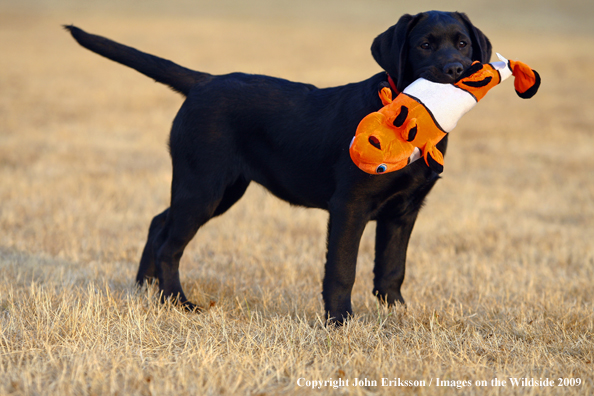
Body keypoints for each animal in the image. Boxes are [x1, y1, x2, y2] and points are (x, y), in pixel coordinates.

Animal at [66, 10, 490, 324]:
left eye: (463, 43)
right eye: (424, 45)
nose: (456, 69)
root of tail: (204, 82)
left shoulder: (403, 211)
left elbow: (391, 268)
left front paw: (398, 314)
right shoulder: (349, 206)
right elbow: (342, 268)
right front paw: (339, 321)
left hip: (220, 189)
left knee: (158, 223)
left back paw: (143, 289)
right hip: (204, 186)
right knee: (170, 244)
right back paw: (178, 304)